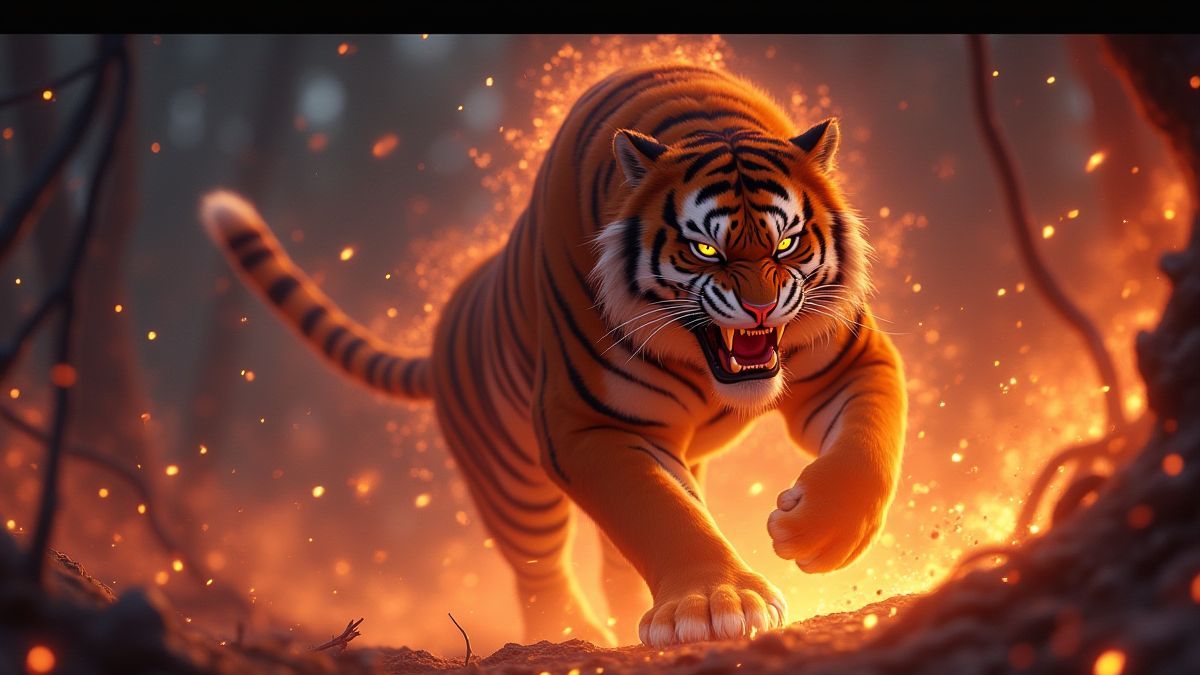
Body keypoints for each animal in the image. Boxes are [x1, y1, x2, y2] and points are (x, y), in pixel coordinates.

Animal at [199, 62, 906, 649]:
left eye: (786, 243)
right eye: (705, 250)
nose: (760, 309)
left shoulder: (853, 359)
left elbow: (868, 447)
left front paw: (821, 532)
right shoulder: (589, 422)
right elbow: (661, 513)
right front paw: (714, 604)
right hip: (511, 484)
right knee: (538, 567)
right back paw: (572, 631)